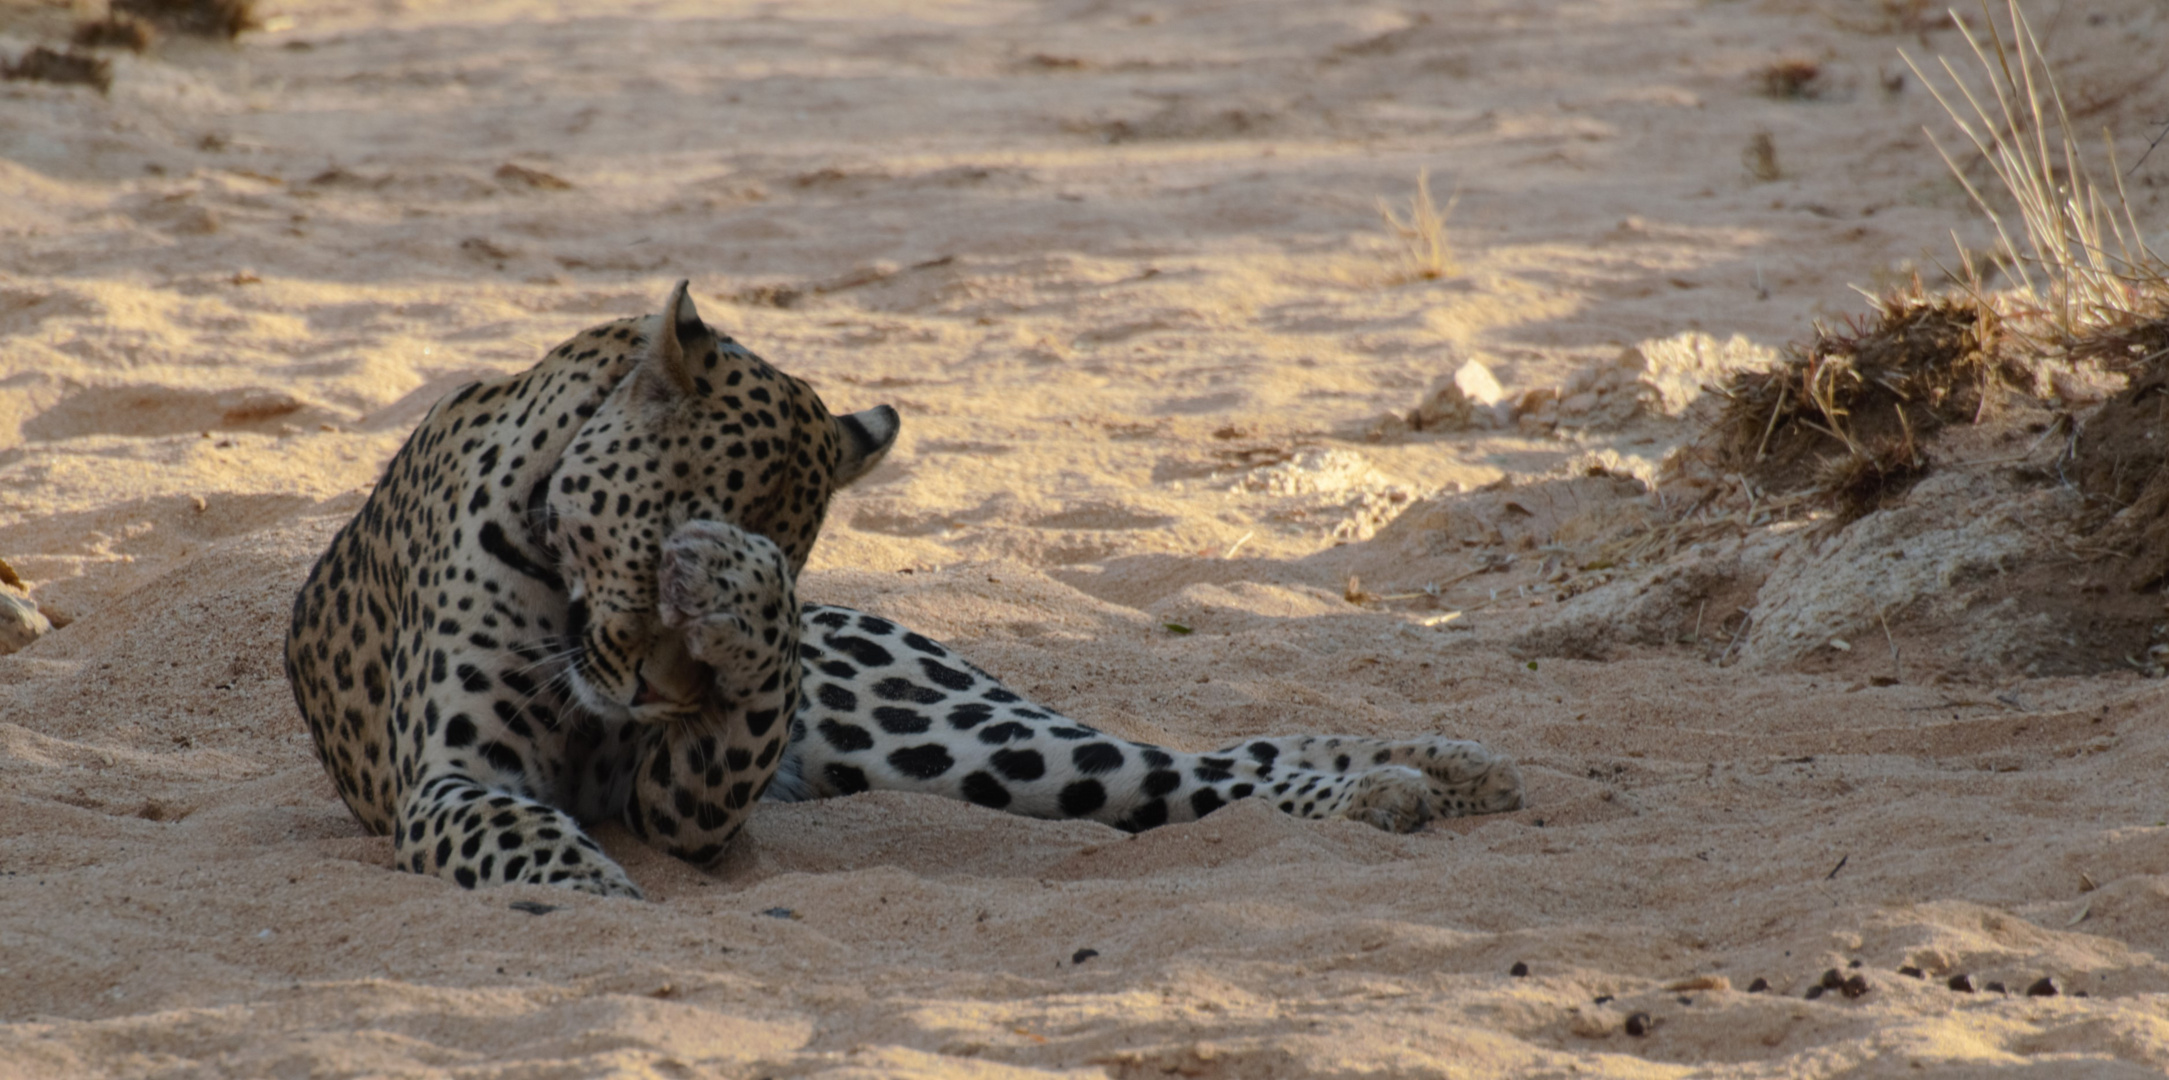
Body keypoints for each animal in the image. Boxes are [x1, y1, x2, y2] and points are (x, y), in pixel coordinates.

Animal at [288, 281, 1526, 897]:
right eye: (654, 550)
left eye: (790, 567)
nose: (660, 694)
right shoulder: (458, 782)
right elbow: (536, 848)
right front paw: (595, 897)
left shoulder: (679, 800)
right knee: (1207, 773)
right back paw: (1418, 778)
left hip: (939, 733)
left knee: (1184, 762)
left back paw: (1427, 773)